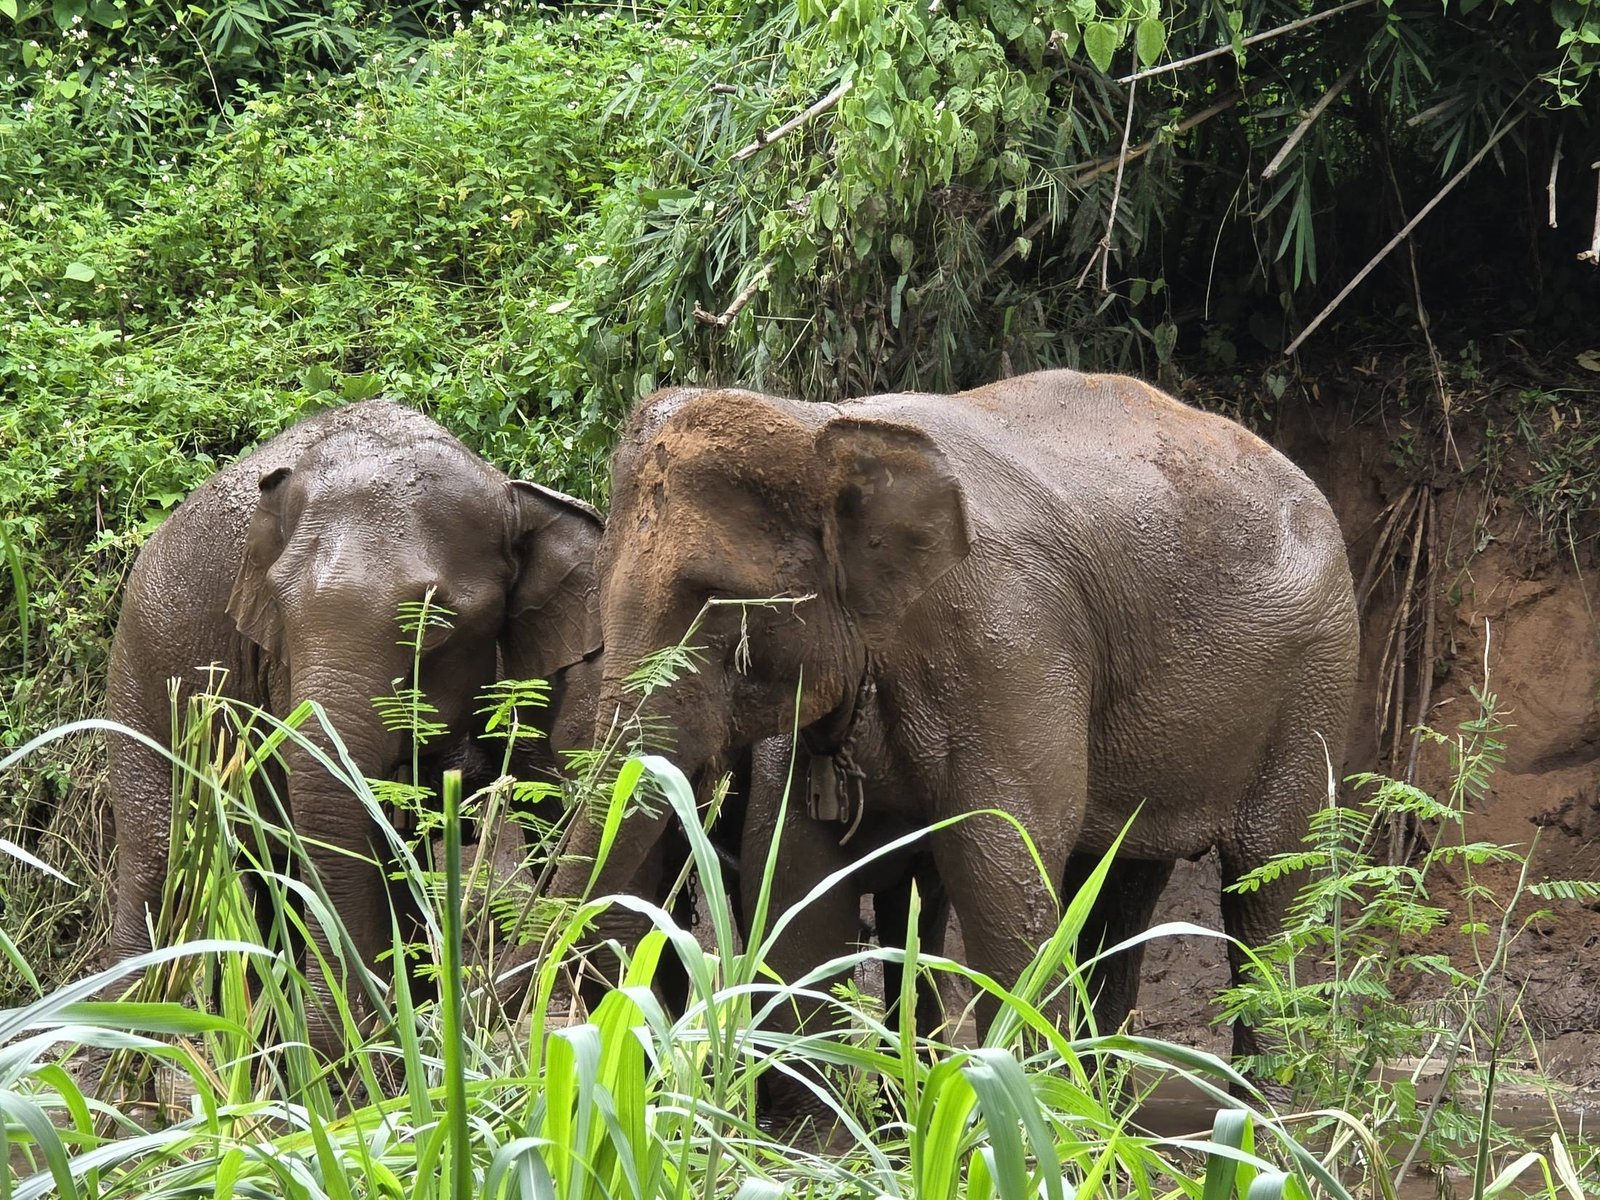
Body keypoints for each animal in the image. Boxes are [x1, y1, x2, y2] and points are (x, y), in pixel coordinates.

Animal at [550, 368, 1359, 1105]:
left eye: (722, 604)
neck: (821, 424)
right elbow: (799, 878)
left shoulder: (1009, 645)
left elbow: (1004, 871)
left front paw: (1020, 1119)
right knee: (1121, 888)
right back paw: (1117, 1106)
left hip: (1318, 674)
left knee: (1270, 885)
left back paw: (1267, 1119)